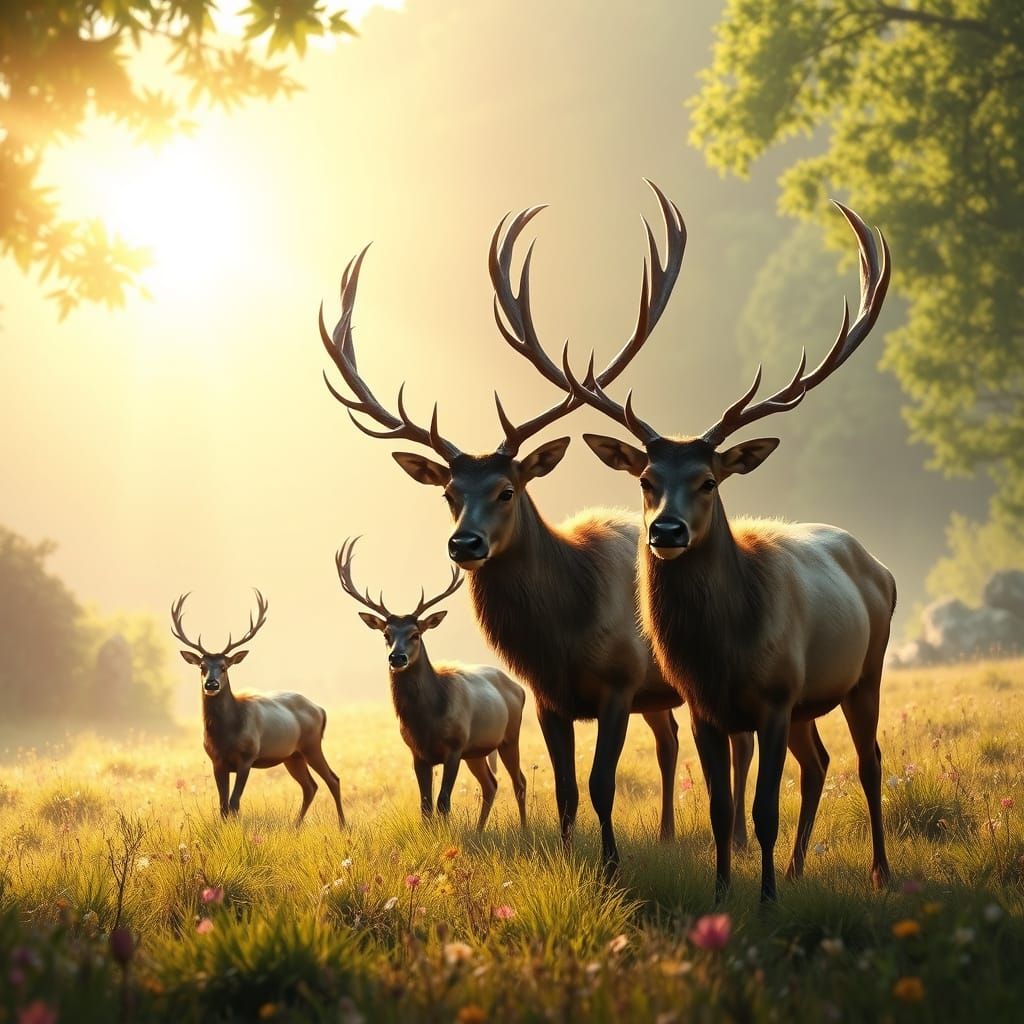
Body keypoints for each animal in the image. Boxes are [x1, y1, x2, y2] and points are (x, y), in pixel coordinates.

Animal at [171, 590, 345, 828]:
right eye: (202, 666)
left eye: (224, 666)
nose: (211, 684)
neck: (225, 734)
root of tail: (320, 709)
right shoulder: (217, 761)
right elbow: (222, 805)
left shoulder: (247, 757)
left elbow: (234, 803)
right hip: (293, 755)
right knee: (310, 786)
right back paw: (295, 827)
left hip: (312, 744)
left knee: (332, 779)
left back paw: (343, 826)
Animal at [336, 537, 527, 830]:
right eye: (386, 634)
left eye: (416, 634)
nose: (397, 657)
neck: (426, 721)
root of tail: (518, 687)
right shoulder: (417, 753)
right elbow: (425, 805)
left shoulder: (455, 746)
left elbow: (443, 802)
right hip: (477, 751)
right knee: (491, 784)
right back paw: (479, 830)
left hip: (509, 736)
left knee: (519, 782)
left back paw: (524, 828)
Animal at [547, 202, 895, 902]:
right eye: (646, 479)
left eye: (709, 480)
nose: (667, 531)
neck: (722, 653)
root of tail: (882, 568)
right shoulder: (708, 706)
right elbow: (719, 808)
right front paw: (723, 896)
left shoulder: (775, 696)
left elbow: (761, 809)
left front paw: (765, 902)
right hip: (811, 700)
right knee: (819, 762)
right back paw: (798, 866)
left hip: (865, 669)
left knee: (869, 762)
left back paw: (879, 871)